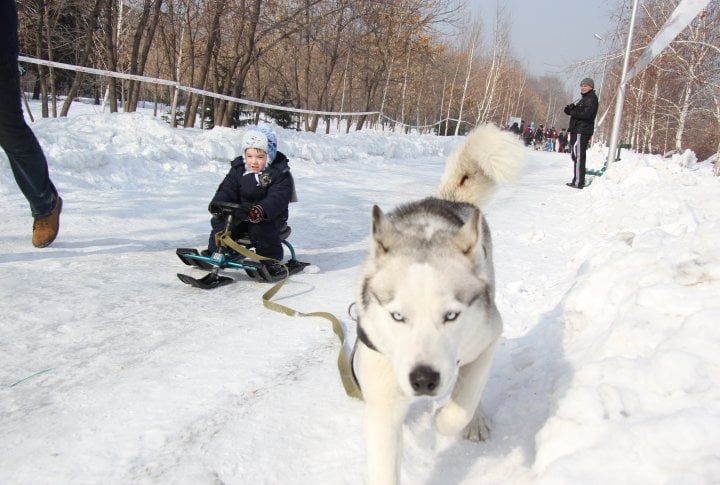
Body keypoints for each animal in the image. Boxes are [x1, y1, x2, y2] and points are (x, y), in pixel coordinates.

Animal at [352, 125, 524, 484]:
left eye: (451, 315)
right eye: (397, 316)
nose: (423, 380)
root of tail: (447, 200)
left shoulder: (488, 338)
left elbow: (461, 404)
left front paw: (444, 418)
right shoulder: (383, 394)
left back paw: (475, 419)